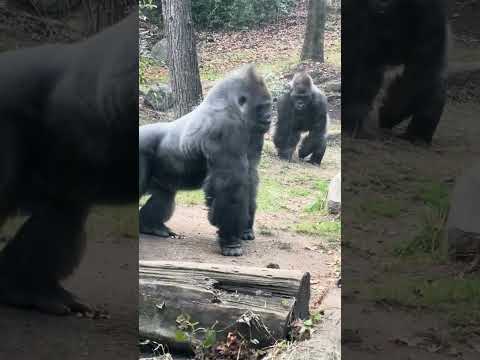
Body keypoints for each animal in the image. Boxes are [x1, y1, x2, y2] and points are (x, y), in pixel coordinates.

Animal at [141, 64, 272, 256]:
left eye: (269, 106)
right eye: (262, 107)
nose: (270, 117)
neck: (234, 107)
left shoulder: (255, 132)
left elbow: (250, 176)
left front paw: (246, 229)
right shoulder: (226, 129)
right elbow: (231, 183)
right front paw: (231, 240)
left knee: (164, 195)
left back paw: (151, 226)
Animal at [342, 0, 450, 143]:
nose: (381, 4)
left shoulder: (431, 10)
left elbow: (422, 65)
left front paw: (388, 114)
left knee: (431, 81)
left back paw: (417, 136)